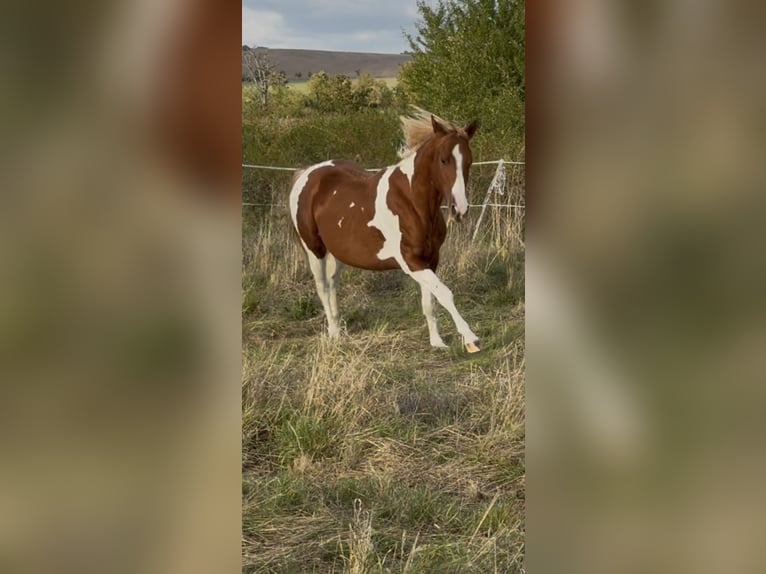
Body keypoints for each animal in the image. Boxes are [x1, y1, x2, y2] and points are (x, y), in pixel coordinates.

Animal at [288, 109, 481, 353]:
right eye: (444, 159)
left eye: (469, 161)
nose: (460, 210)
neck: (411, 202)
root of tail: (307, 174)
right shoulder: (410, 261)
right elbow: (445, 293)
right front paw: (471, 339)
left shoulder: (430, 259)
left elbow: (430, 301)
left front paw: (437, 342)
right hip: (314, 250)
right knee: (322, 286)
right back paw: (333, 334)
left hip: (338, 253)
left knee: (331, 285)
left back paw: (339, 330)